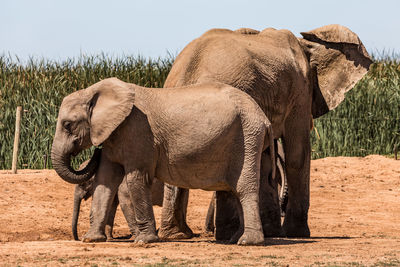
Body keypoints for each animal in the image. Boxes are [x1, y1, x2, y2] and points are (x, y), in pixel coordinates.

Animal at [52, 78, 276, 247]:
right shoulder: (114, 135)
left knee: (244, 187)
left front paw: (144, 241)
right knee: (236, 189)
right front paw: (91, 240)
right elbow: (104, 180)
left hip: (247, 137)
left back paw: (248, 242)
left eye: (68, 124)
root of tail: (264, 118)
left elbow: (136, 178)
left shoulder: (138, 132)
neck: (94, 92)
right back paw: (236, 239)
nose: (95, 151)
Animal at [159, 24, 372, 240]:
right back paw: (224, 234)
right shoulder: (300, 91)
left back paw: (180, 234)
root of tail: (187, 75)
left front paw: (272, 232)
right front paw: (296, 234)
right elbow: (297, 154)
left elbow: (265, 159)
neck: (306, 44)